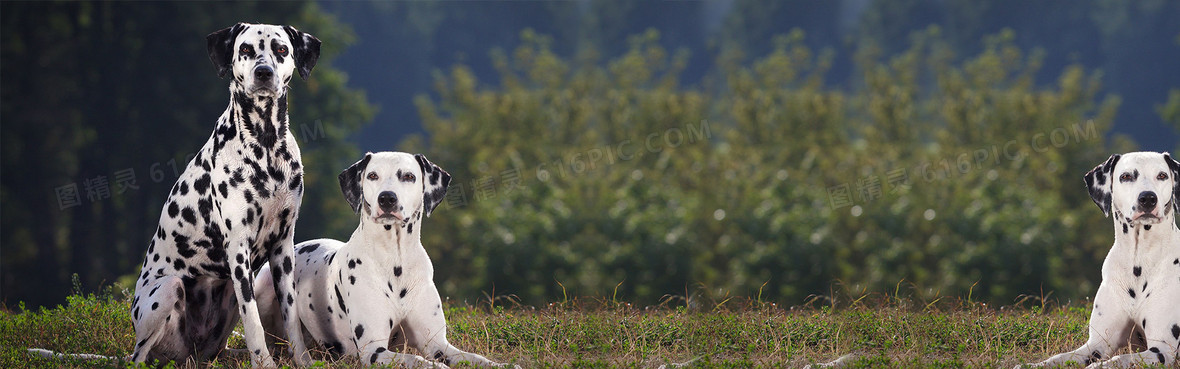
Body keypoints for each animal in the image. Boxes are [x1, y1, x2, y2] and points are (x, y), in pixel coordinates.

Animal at [123, 22, 323, 365]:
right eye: (245, 49)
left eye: (281, 49)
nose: (264, 72)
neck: (266, 146)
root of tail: (189, 354)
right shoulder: (238, 251)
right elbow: (253, 321)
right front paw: (264, 364)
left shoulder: (283, 247)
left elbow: (292, 317)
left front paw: (303, 361)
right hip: (168, 289)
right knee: (139, 356)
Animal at [256, 150, 514, 365]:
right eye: (372, 175)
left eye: (409, 176)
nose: (387, 198)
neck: (395, 260)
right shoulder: (373, 350)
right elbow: (418, 360)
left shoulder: (438, 344)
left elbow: (476, 358)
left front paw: (503, 365)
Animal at [1014, 150, 1180, 365]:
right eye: (1126, 176)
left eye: (1162, 175)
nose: (1148, 198)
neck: (1139, 261)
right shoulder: (1097, 344)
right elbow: (1058, 358)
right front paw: (1033, 365)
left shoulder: (1162, 350)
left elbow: (1118, 360)